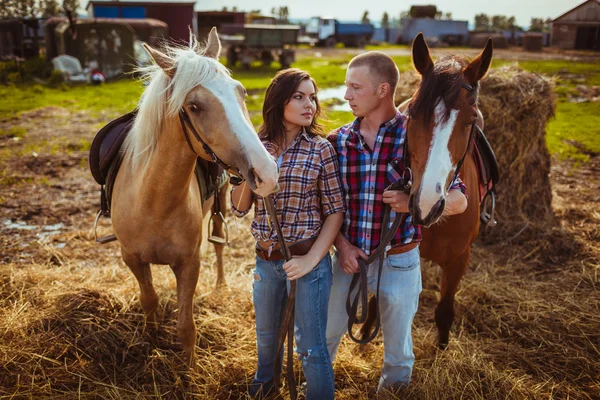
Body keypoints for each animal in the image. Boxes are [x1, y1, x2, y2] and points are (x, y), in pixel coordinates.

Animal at [110, 28, 278, 364]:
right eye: (194, 106)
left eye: (241, 92)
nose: (267, 171)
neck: (153, 202)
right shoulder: (131, 258)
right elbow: (149, 300)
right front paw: (150, 338)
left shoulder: (189, 264)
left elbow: (186, 327)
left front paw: (188, 369)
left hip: (221, 206)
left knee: (219, 246)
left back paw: (221, 285)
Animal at [404, 32, 492, 348]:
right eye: (412, 111)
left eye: (471, 120)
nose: (426, 204)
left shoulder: (459, 260)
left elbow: (444, 312)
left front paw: (441, 349)